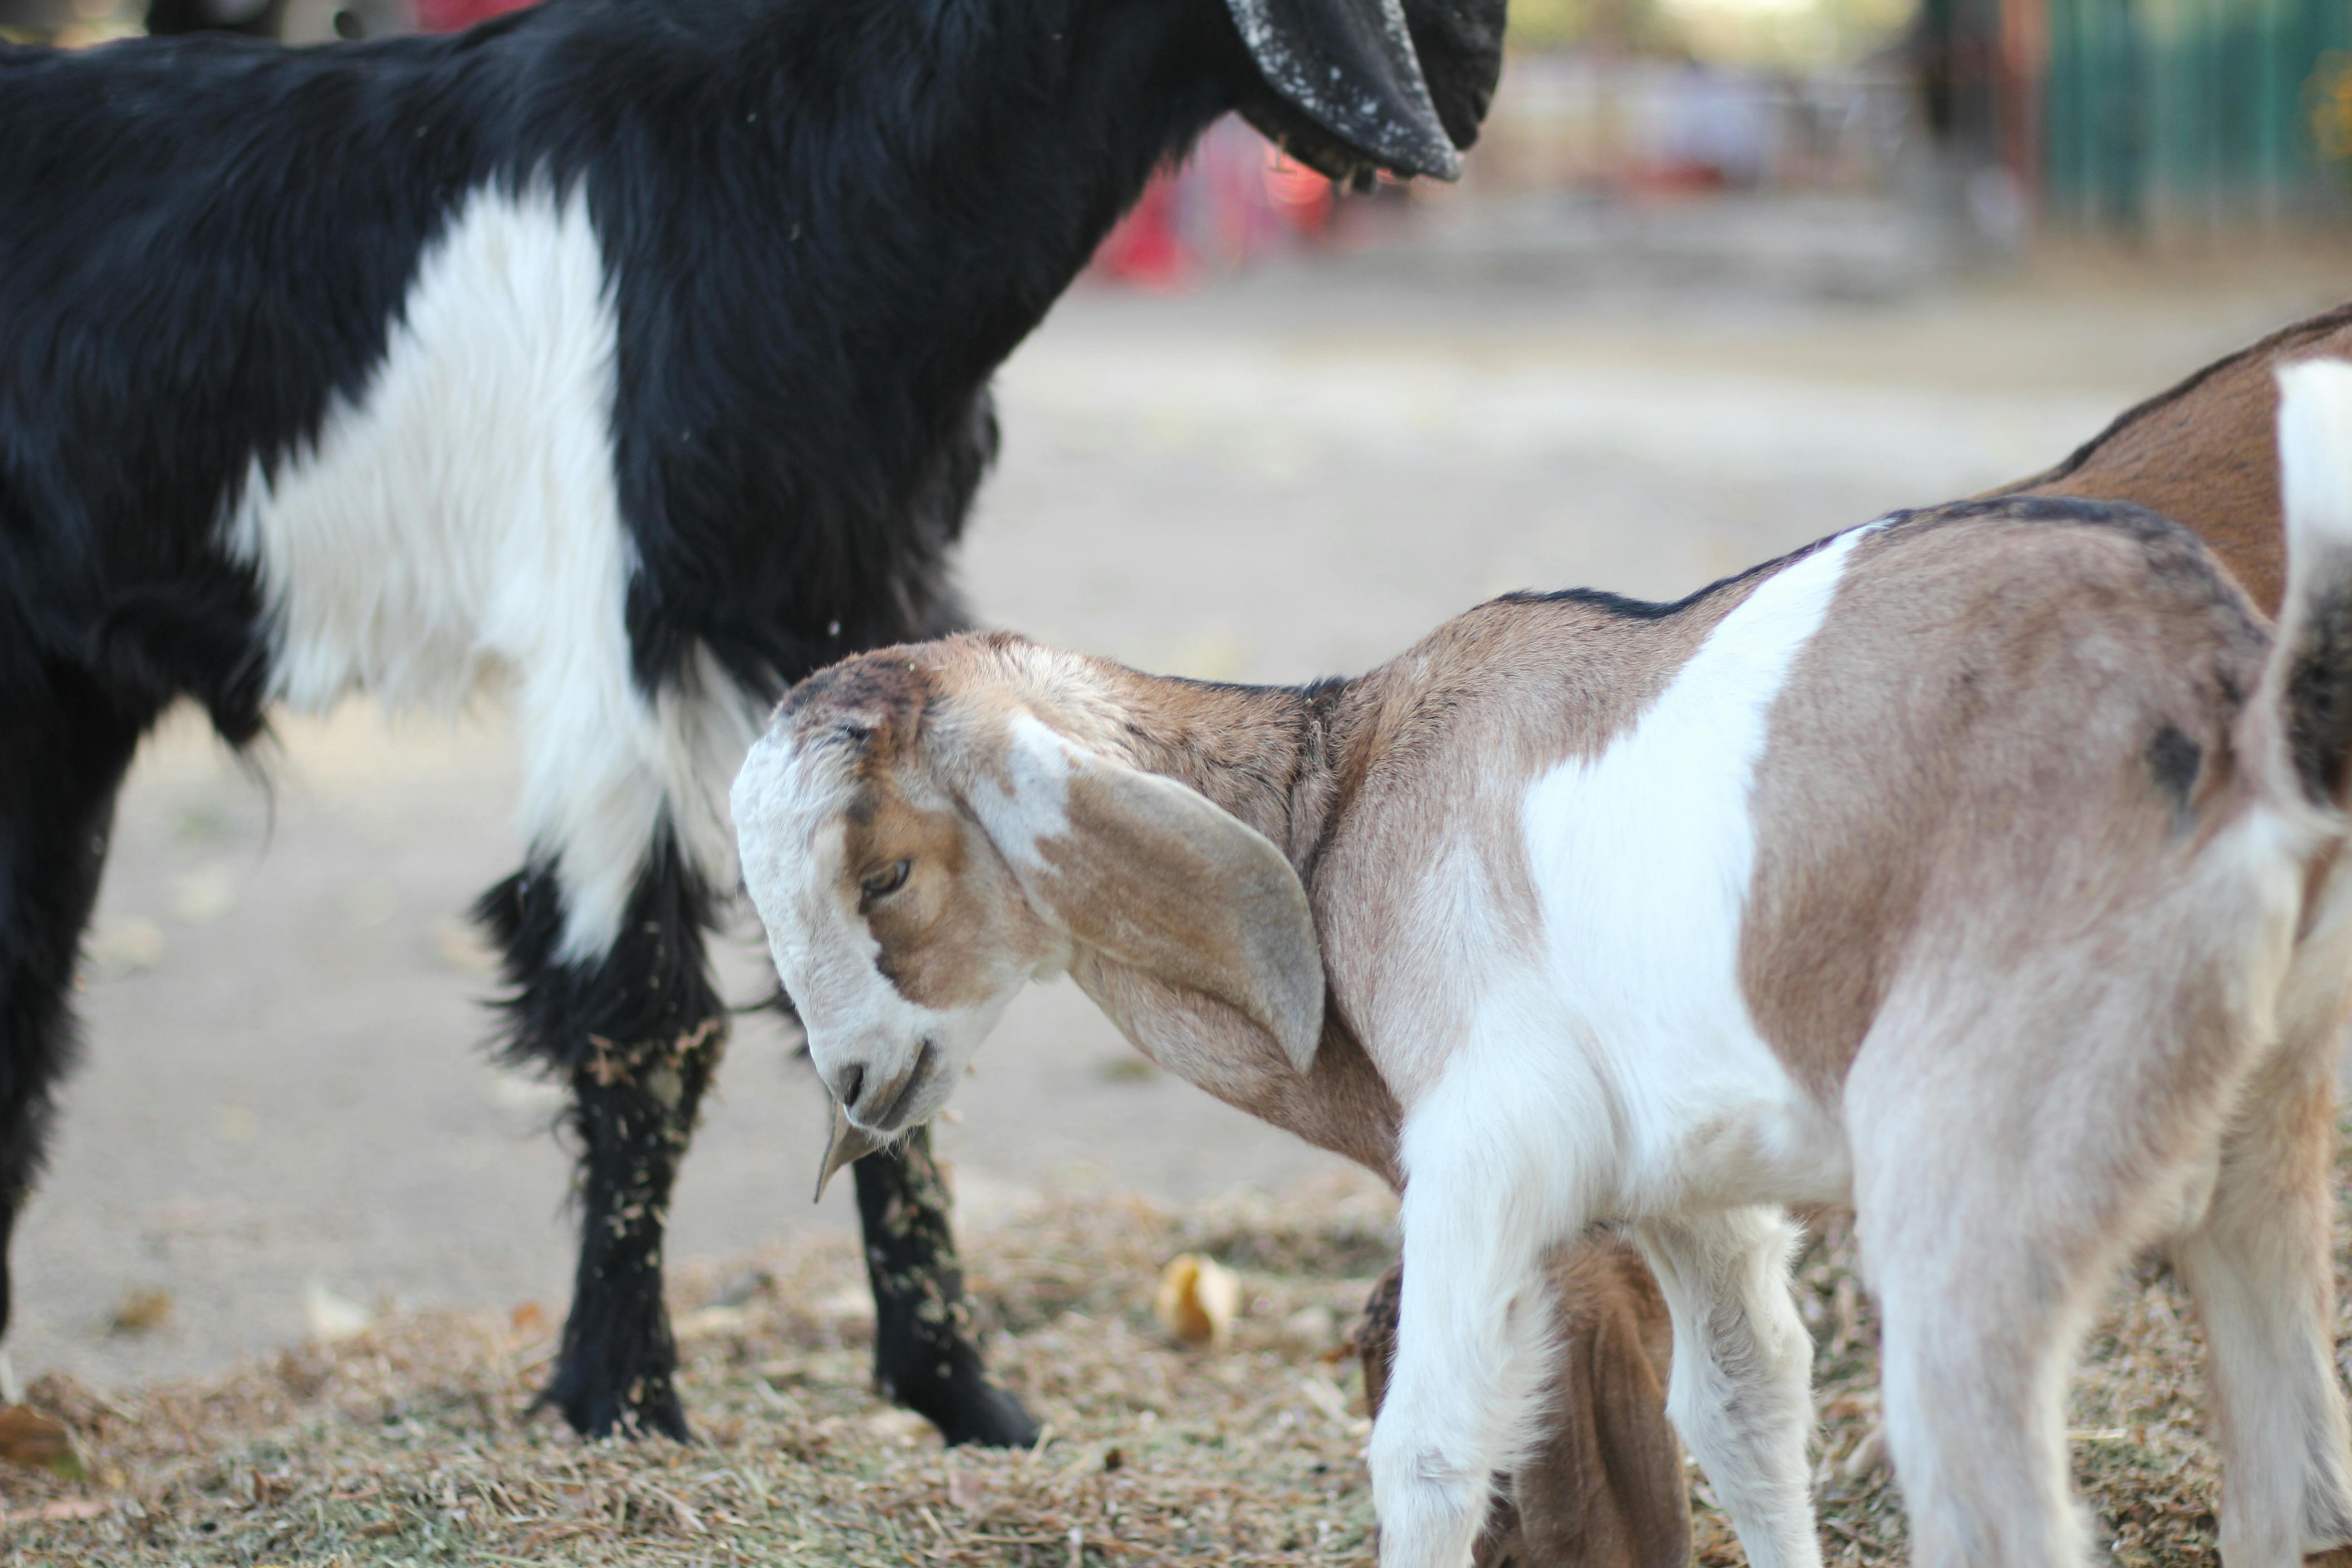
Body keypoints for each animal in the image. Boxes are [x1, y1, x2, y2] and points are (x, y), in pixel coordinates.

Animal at [0, 0, 1505, 1448]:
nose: (1479, 75)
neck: (780, 168)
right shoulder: (617, 648)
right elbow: (644, 1017)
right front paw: (622, 1402)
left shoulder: (852, 612)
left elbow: (878, 998)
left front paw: (966, 1398)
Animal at [738, 362, 2352, 1568]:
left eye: (885, 874)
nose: (857, 1083)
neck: (1341, 805)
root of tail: (2231, 698)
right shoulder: (1693, 1189)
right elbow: (1746, 1404)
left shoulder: (1489, 1144)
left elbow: (1433, 1448)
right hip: (2253, 1144)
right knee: (2294, 1484)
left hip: (1987, 1169)